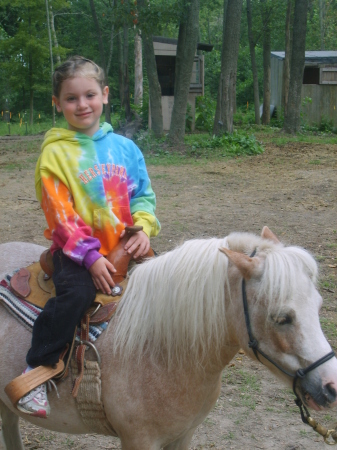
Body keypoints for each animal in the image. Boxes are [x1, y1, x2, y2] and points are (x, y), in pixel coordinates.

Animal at [0, 227, 336, 448]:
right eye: (282, 318)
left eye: (318, 306)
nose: (331, 387)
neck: (159, 350)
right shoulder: (139, 440)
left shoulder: (183, 435)